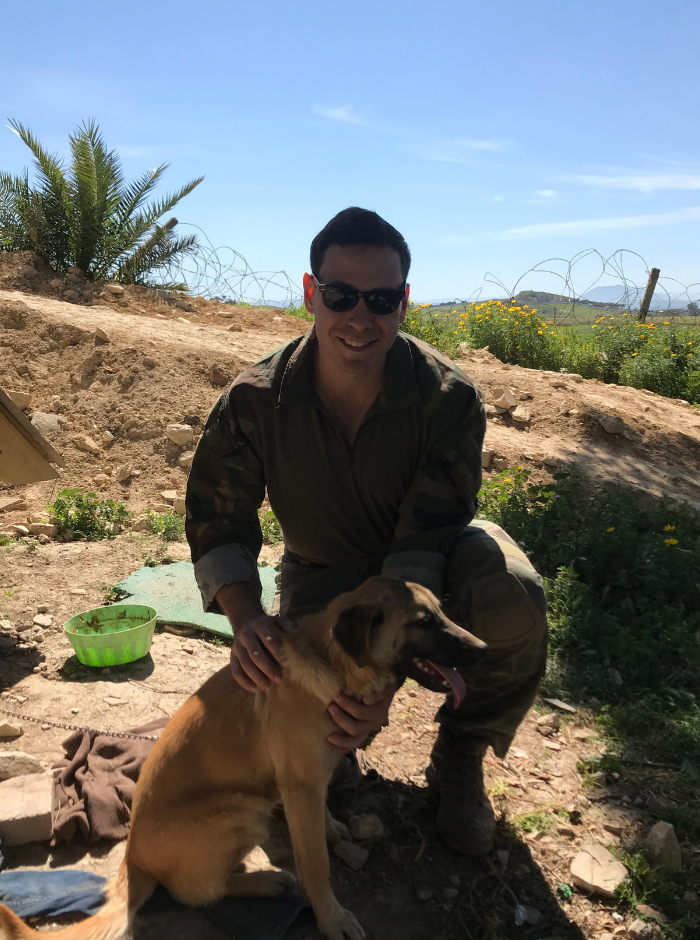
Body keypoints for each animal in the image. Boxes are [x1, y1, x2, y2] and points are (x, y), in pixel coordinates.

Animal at [1, 576, 486, 940]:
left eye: (442, 612)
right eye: (424, 621)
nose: (483, 650)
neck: (334, 663)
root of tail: (131, 860)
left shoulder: (312, 781)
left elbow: (323, 821)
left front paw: (333, 830)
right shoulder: (299, 785)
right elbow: (316, 866)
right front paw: (332, 919)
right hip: (244, 810)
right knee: (196, 893)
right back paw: (265, 881)